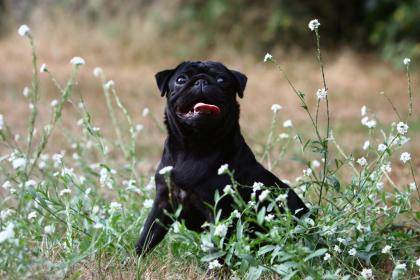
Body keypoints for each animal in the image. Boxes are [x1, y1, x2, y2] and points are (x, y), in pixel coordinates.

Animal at [136, 60, 310, 256]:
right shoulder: (163, 202)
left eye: (221, 79)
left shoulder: (218, 209)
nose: (201, 80)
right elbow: (147, 236)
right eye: (181, 79)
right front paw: (135, 260)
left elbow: (218, 246)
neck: (194, 147)